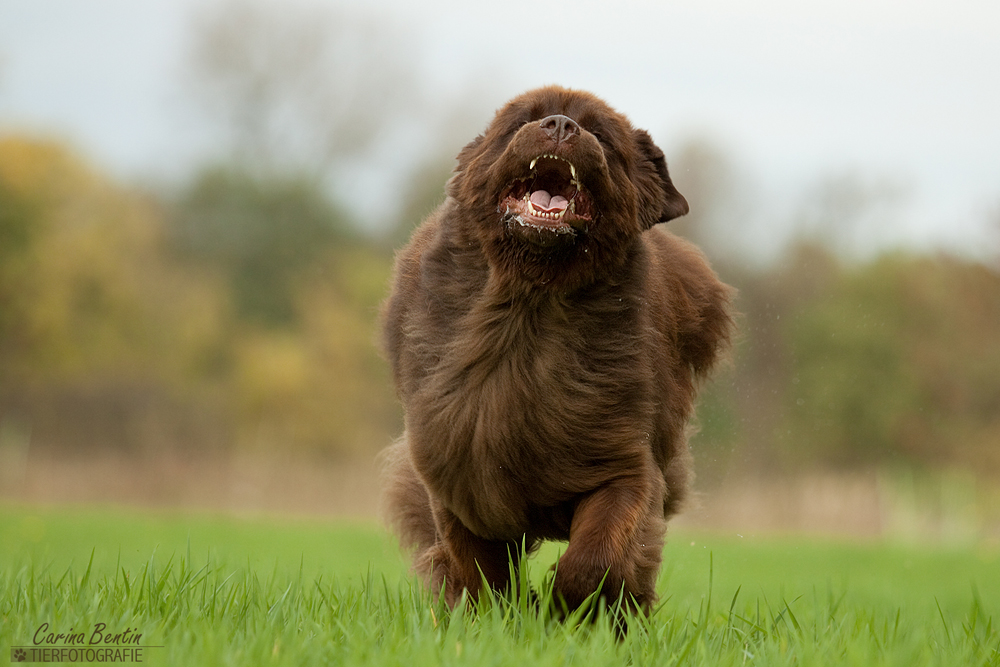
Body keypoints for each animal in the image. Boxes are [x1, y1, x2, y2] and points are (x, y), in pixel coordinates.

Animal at [378, 86, 732, 612]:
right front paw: (505, 614)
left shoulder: (623, 462)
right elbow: (481, 571)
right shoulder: (457, 471)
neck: (529, 306)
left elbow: (596, 558)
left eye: (601, 135)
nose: (562, 125)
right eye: (523, 120)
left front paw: (566, 610)